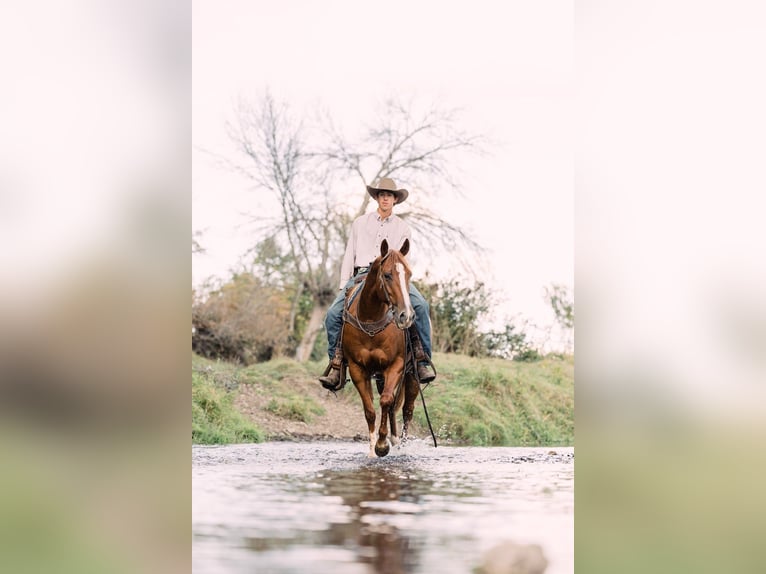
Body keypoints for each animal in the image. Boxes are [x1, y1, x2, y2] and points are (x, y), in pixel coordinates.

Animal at [341, 238, 421, 457]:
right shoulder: (358, 369)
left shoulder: (396, 365)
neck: (371, 320)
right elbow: (369, 410)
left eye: (409, 274)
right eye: (387, 274)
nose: (406, 316)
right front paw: (372, 449)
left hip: (411, 376)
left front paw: (382, 444)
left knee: (407, 409)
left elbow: (385, 401)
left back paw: (400, 443)